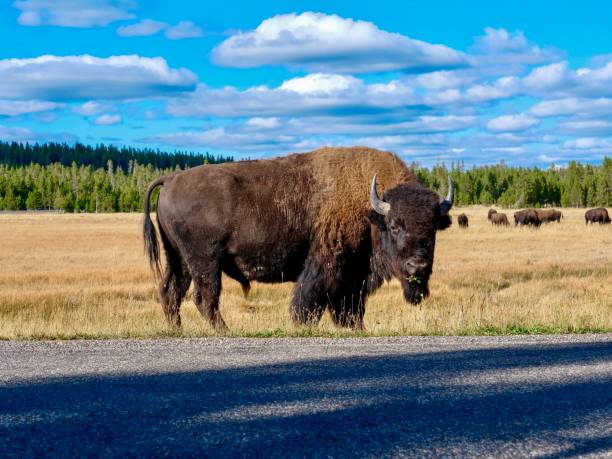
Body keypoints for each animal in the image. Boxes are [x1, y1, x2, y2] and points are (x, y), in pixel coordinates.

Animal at [141, 147, 452, 330]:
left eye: (433, 227)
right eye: (395, 226)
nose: (418, 266)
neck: (371, 209)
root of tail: (171, 178)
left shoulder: (355, 276)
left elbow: (351, 308)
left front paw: (356, 329)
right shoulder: (326, 266)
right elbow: (310, 301)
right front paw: (304, 326)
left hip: (178, 258)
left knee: (171, 291)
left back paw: (176, 329)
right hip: (205, 261)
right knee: (204, 296)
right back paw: (226, 331)